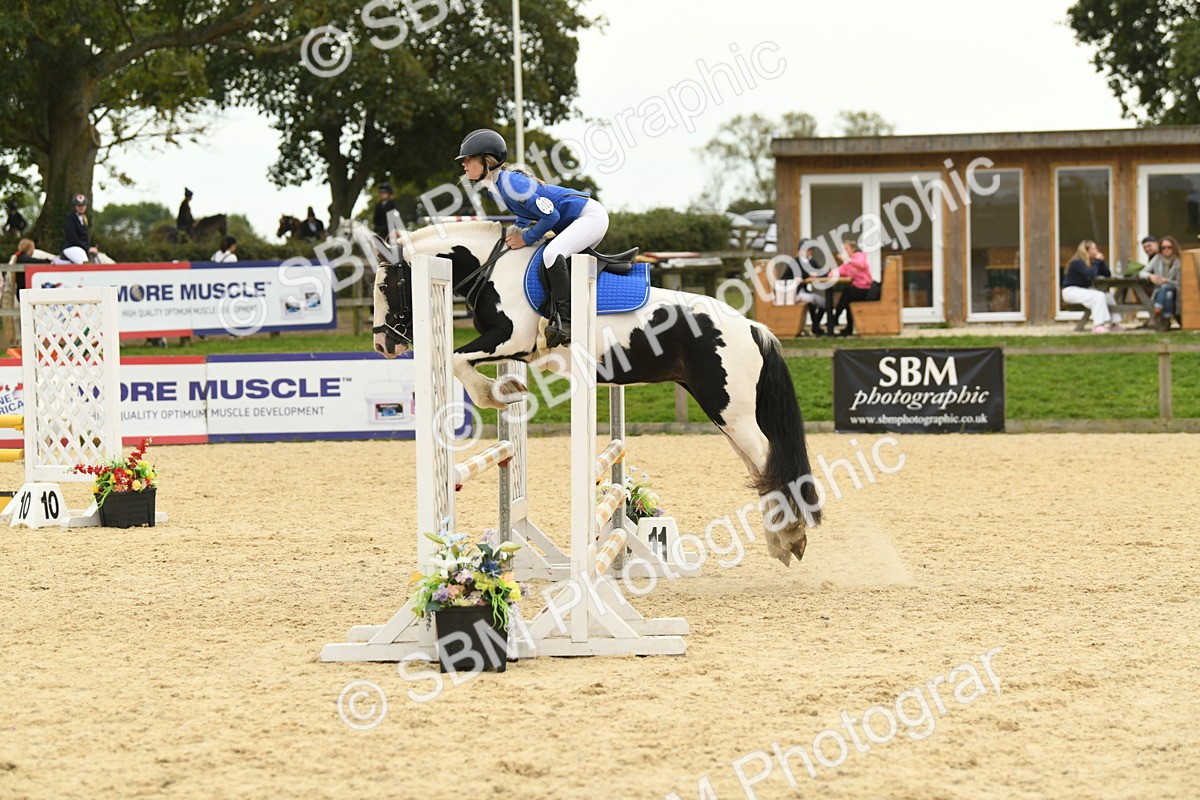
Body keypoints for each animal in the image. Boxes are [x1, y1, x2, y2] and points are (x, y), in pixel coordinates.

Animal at [371, 221, 821, 567]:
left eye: (387, 286)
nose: (383, 346)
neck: (492, 267)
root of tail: (751, 327)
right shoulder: (513, 348)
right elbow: (463, 362)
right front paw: (508, 389)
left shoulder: (509, 339)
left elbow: (457, 360)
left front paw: (498, 394)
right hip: (724, 411)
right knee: (758, 465)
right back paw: (781, 541)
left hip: (730, 409)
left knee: (766, 457)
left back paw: (792, 534)